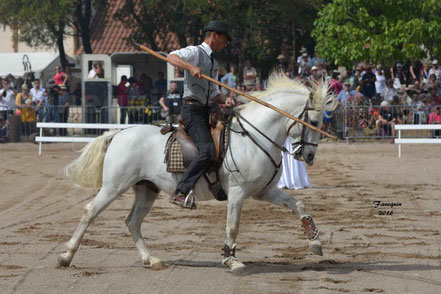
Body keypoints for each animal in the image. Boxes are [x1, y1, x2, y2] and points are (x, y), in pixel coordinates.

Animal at [60, 74, 336, 272]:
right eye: (314, 122)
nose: (309, 157)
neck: (255, 136)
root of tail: (117, 133)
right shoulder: (238, 192)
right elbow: (233, 226)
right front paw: (231, 259)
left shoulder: (264, 191)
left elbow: (298, 204)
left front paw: (315, 241)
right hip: (114, 187)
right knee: (90, 212)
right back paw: (66, 255)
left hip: (147, 189)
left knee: (133, 222)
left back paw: (151, 259)